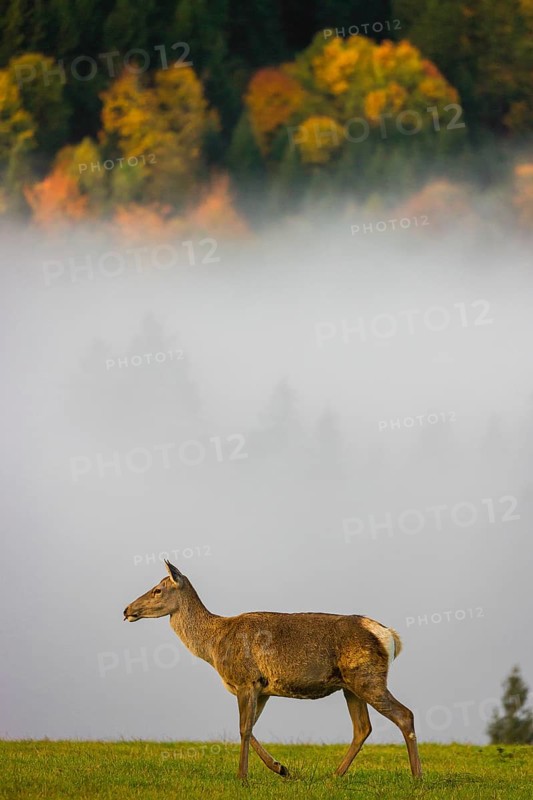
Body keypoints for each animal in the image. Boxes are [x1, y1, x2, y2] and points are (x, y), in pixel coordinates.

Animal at [123, 560, 422, 781]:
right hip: (350, 686)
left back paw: (417, 777)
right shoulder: (262, 688)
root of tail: (390, 636)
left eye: (157, 590)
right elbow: (251, 727)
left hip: (368, 677)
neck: (213, 646)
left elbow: (243, 729)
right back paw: (334, 776)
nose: (126, 609)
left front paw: (242, 777)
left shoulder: (245, 680)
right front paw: (282, 769)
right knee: (362, 728)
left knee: (404, 715)